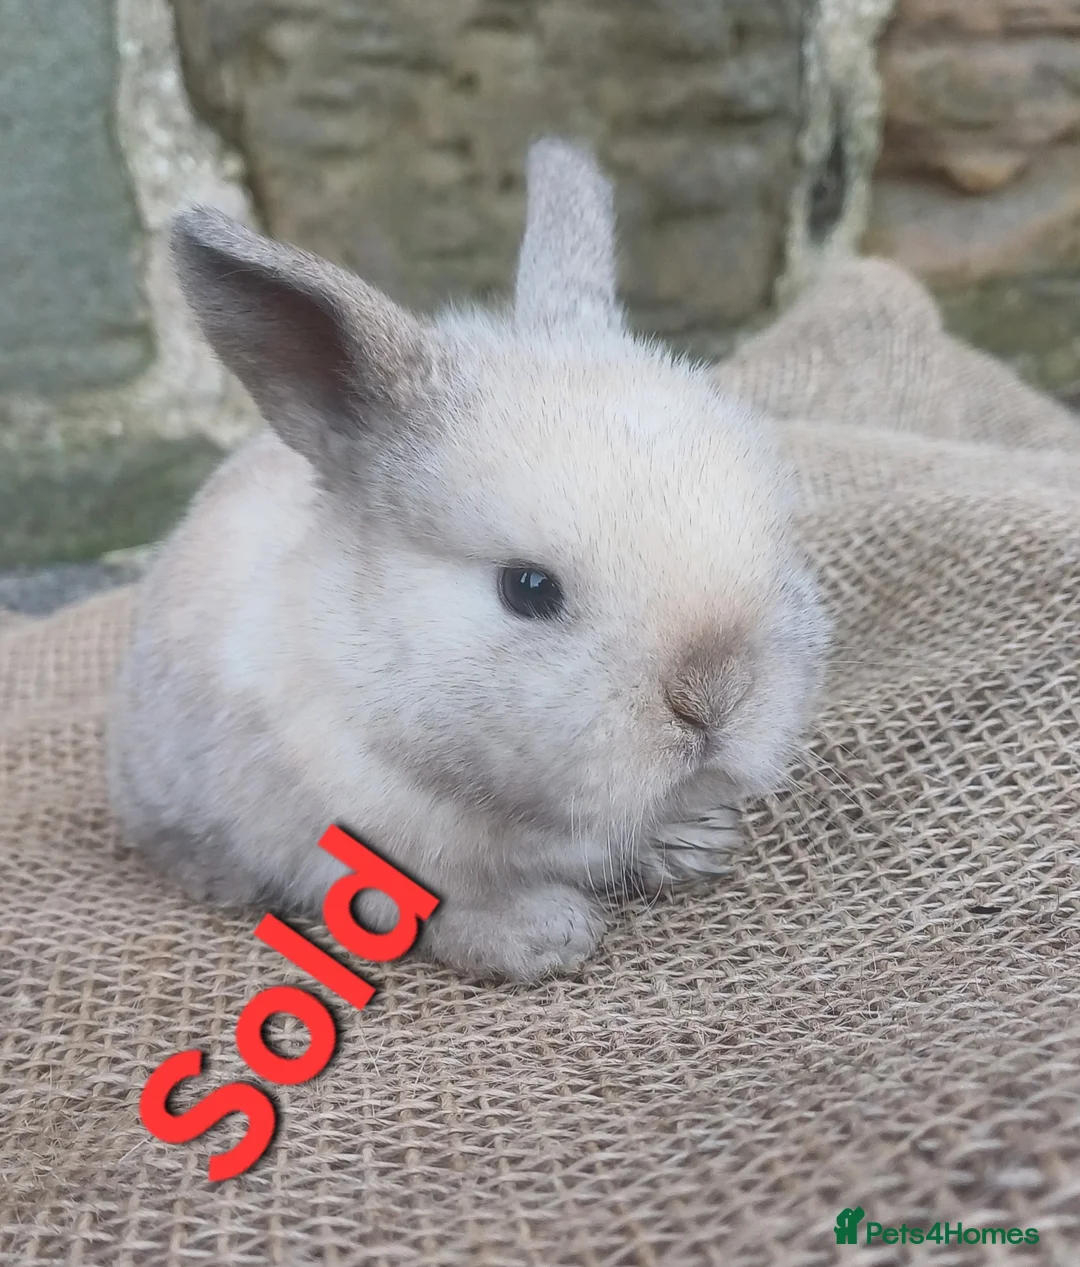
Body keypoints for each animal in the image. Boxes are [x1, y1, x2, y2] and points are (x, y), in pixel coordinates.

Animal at [106, 138, 829, 983]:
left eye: (776, 537)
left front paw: (691, 843)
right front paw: (543, 934)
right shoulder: (361, 847)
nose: (714, 698)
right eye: (528, 587)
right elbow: (444, 911)